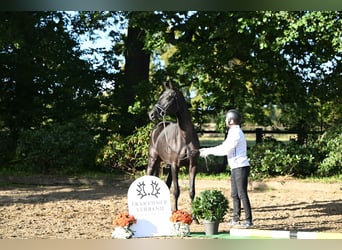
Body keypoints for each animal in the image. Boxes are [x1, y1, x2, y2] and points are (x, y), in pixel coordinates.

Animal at [147, 82, 200, 211]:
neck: (185, 139)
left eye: (168, 97)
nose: (151, 114)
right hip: (152, 160)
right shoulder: (175, 166)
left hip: (167, 165)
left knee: (166, 184)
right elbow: (176, 191)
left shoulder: (192, 166)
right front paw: (176, 211)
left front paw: (194, 214)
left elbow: (192, 191)